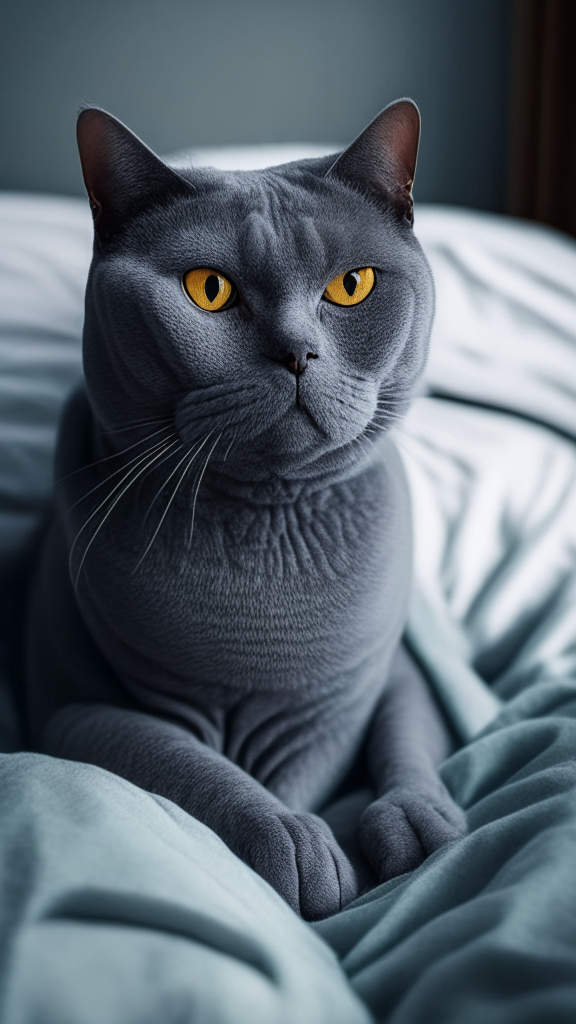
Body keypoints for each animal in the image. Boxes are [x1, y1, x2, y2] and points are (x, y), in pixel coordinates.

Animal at [25, 99, 467, 925]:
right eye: (209, 289)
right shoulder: (72, 714)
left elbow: (391, 740)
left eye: (352, 285)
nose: (297, 352)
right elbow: (191, 763)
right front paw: (294, 842)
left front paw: (408, 830)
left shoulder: (365, 689)